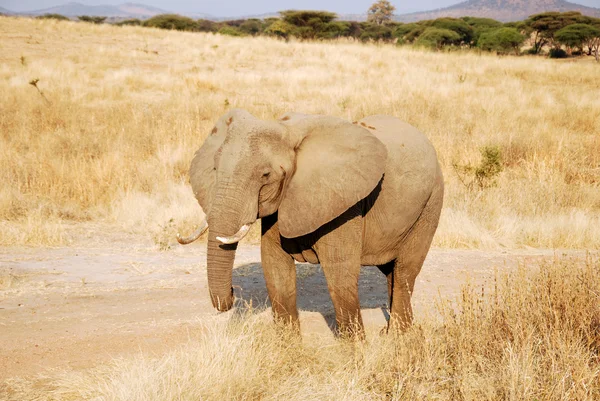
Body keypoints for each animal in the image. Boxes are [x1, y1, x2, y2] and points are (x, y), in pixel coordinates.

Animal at [177, 108, 440, 334]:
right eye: (214, 168)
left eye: (266, 175)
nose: (233, 293)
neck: (287, 131)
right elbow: (276, 271)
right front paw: (289, 347)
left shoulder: (343, 204)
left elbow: (339, 276)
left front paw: (354, 351)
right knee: (391, 273)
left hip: (430, 205)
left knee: (405, 272)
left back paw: (398, 335)